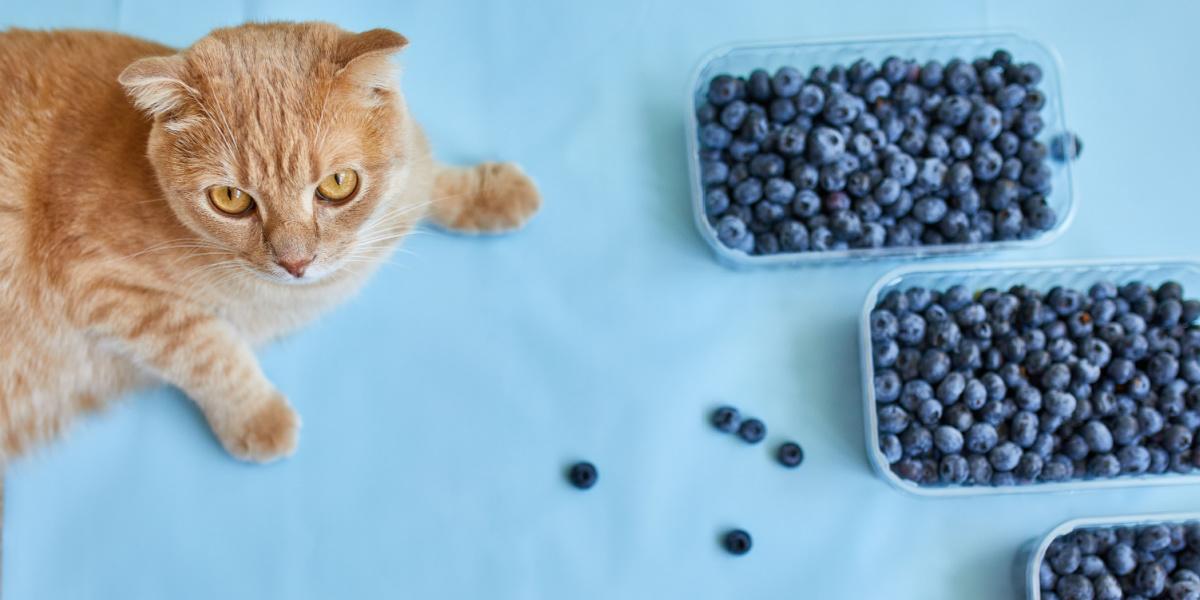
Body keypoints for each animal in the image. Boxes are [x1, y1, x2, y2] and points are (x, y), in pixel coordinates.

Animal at [0, 21, 540, 460]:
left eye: (338, 184)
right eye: (230, 198)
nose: (296, 262)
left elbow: (425, 179)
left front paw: (490, 192)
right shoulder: (103, 284)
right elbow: (206, 347)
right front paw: (258, 416)